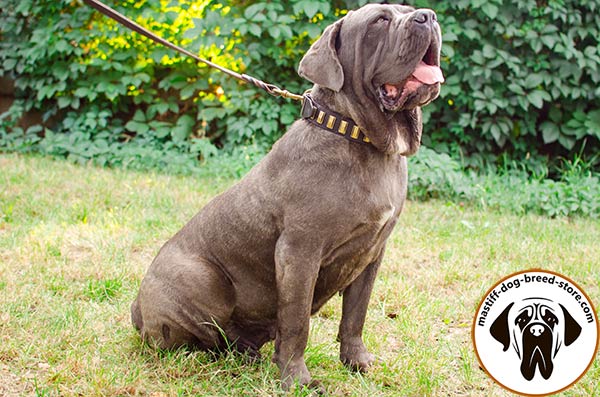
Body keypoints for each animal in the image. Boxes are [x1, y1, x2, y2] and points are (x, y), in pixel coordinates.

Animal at [131, 3, 442, 390]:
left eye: (407, 10)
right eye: (380, 21)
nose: (427, 16)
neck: (358, 136)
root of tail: (137, 307)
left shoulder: (372, 254)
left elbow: (355, 315)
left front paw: (358, 363)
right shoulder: (299, 251)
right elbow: (297, 321)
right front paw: (297, 379)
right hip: (201, 280)